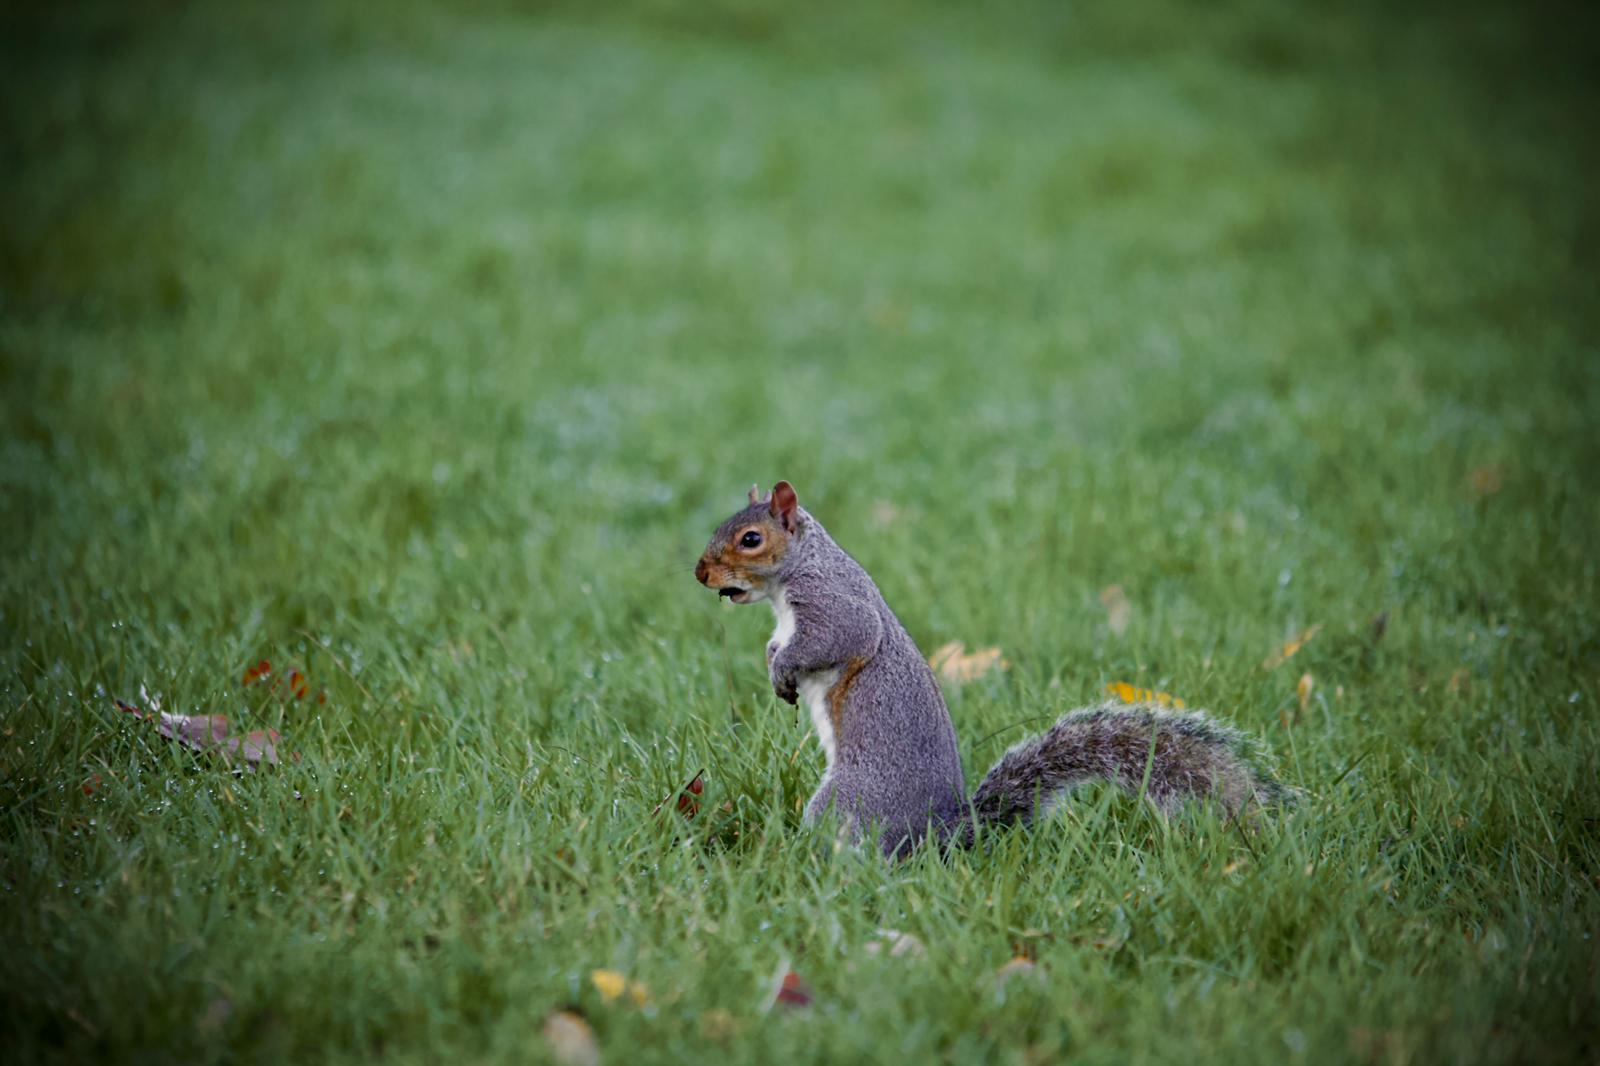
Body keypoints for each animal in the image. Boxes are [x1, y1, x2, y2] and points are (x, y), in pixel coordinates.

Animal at [695, 481, 1287, 858]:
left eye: (751, 539)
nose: (701, 573)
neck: (798, 572)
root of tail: (939, 834)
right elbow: (778, 643)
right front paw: (773, 663)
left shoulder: (834, 605)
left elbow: (835, 638)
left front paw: (784, 668)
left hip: (851, 800)